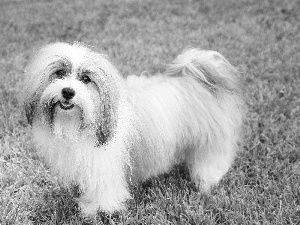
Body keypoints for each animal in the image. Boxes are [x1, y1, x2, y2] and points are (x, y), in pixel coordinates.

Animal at [22, 41, 244, 214]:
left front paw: (96, 209)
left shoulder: (104, 166)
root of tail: (198, 80)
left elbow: (104, 191)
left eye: (86, 79)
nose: (68, 92)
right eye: (59, 73)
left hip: (210, 142)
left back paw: (205, 182)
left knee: (210, 161)